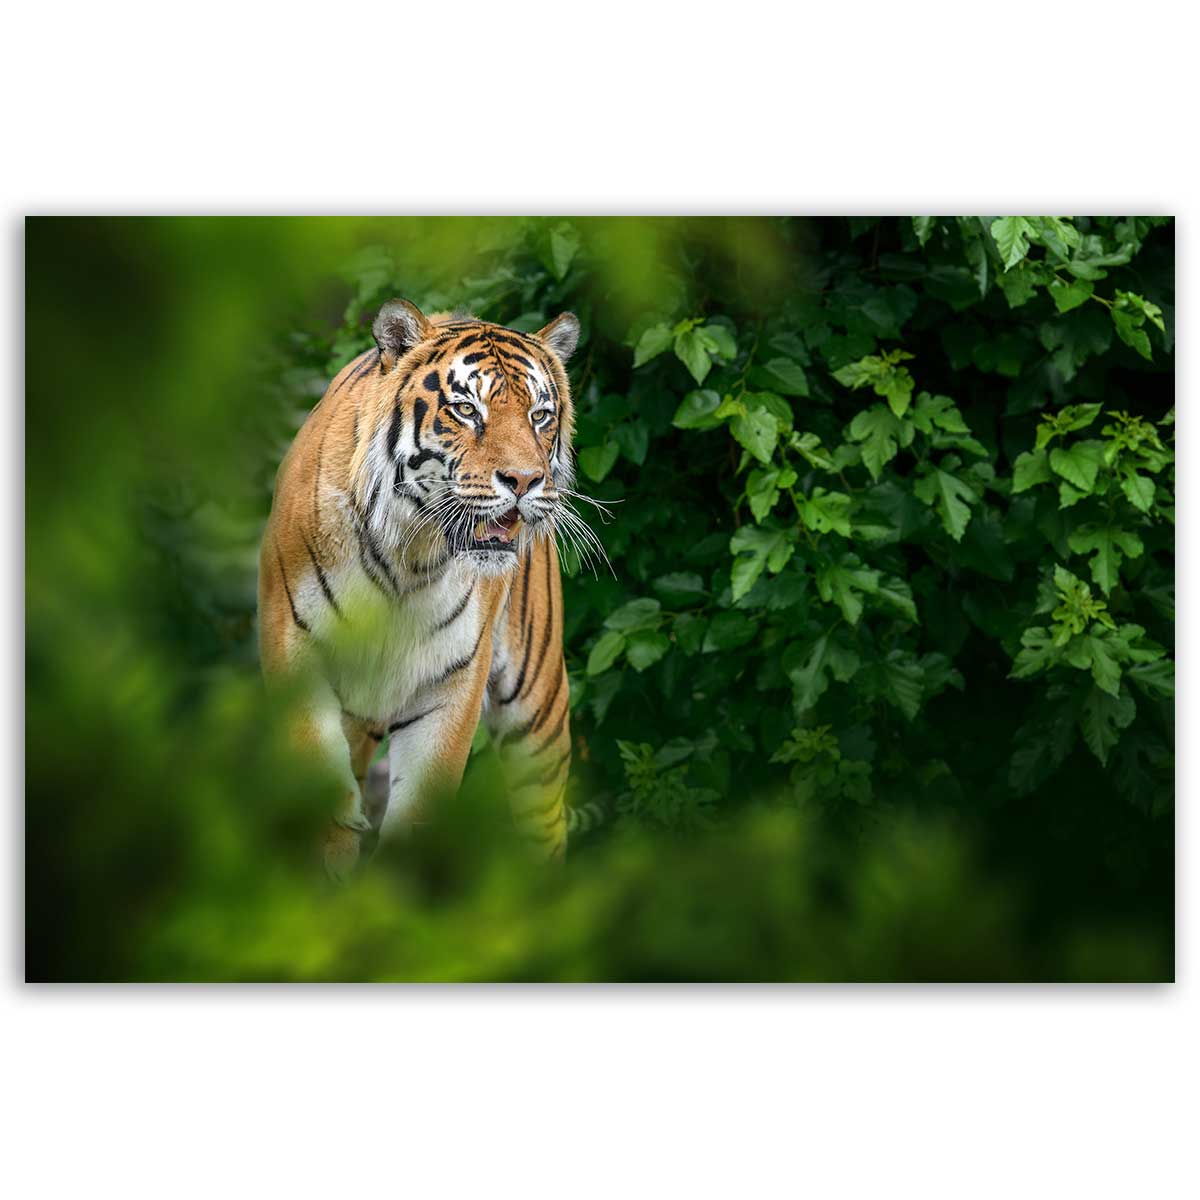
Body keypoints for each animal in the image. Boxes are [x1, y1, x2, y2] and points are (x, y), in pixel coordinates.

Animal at [258, 298, 587, 878]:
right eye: (467, 410)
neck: (408, 557)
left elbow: (417, 815)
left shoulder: (451, 681)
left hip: (538, 710)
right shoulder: (297, 655)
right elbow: (328, 810)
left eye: (540, 416)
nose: (525, 481)